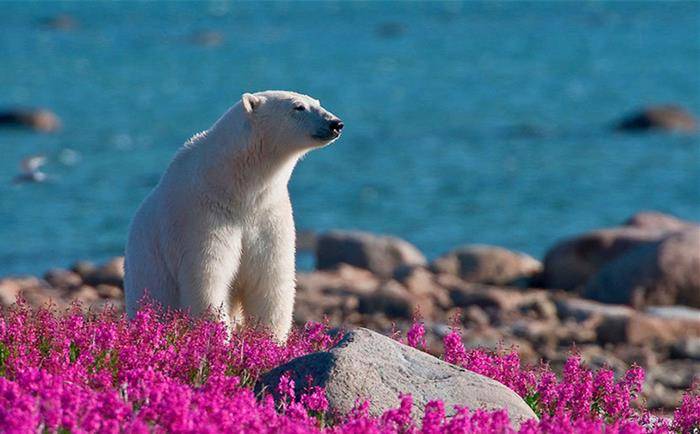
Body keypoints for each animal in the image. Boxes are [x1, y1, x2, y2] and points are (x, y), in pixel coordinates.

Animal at [127, 91, 346, 340]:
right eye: (298, 107)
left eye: (317, 102)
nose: (335, 123)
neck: (234, 187)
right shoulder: (201, 216)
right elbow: (208, 278)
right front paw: (219, 339)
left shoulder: (268, 214)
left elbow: (270, 280)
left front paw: (269, 340)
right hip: (149, 277)